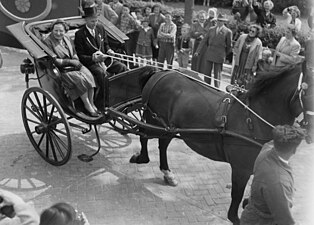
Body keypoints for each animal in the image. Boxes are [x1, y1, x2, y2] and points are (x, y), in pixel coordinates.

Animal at [128, 63, 314, 225]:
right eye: (307, 93)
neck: (253, 118)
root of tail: (160, 73)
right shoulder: (241, 169)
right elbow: (235, 204)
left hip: (169, 127)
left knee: (163, 144)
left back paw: (167, 173)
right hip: (153, 119)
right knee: (144, 135)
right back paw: (142, 158)